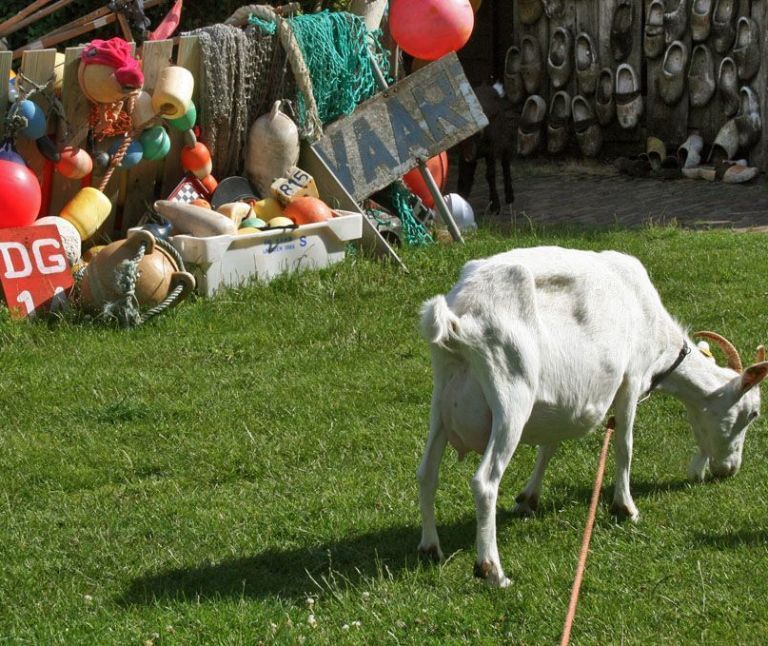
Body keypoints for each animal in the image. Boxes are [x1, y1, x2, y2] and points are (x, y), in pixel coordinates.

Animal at [420, 247, 768, 588]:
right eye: (752, 413)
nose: (729, 469)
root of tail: (458, 318)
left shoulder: (564, 398)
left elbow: (550, 446)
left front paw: (529, 498)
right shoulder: (631, 379)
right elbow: (625, 445)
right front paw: (625, 507)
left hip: (441, 399)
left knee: (426, 473)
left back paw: (430, 548)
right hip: (511, 394)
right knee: (485, 481)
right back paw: (492, 570)